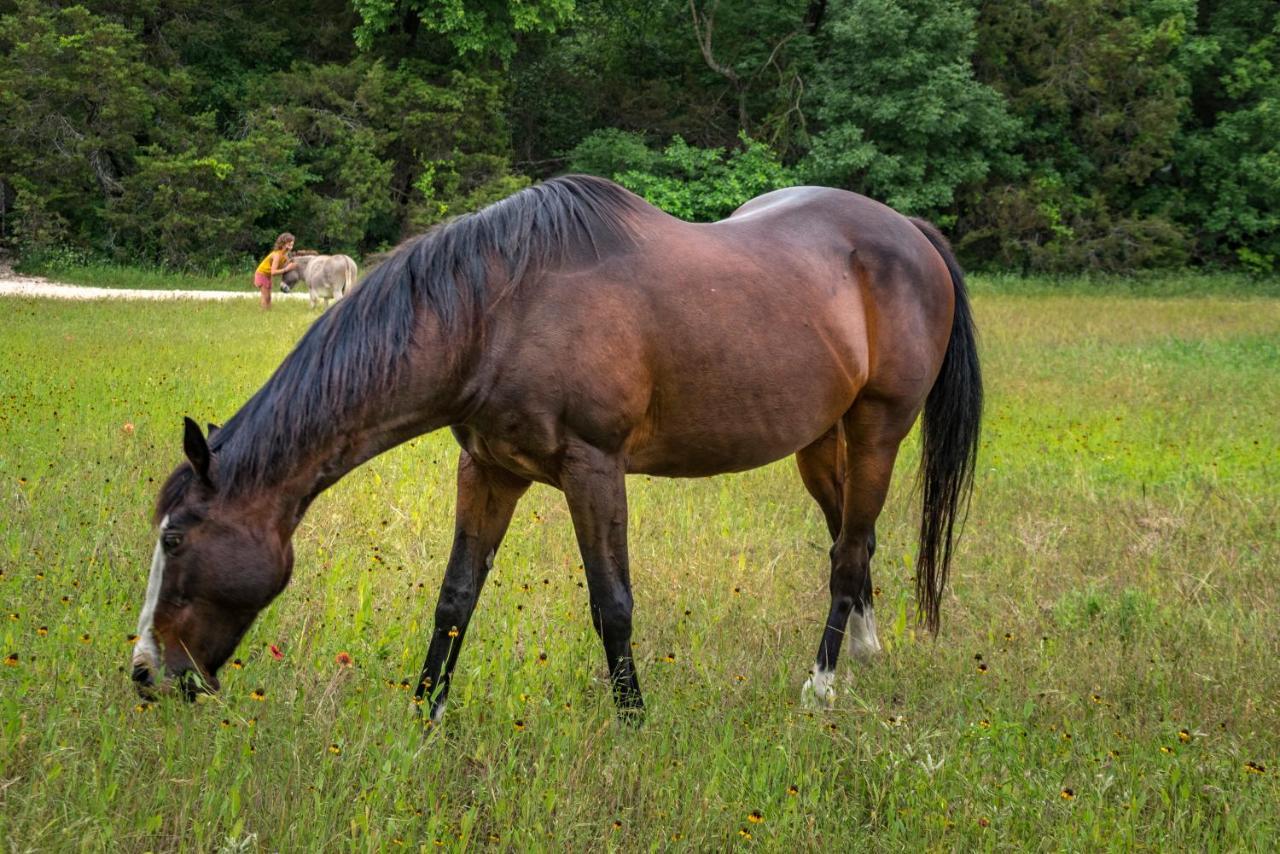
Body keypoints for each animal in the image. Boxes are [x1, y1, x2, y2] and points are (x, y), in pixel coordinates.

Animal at [129, 175, 977, 722]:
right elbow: (455, 600)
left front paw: (632, 723)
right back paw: (864, 655)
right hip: (818, 443)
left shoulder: (593, 470)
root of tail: (909, 232)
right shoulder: (489, 471)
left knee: (849, 552)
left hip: (877, 430)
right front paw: (425, 715)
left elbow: (613, 604)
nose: (144, 672)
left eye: (177, 539)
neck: (497, 311)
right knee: (853, 543)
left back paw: (821, 686)